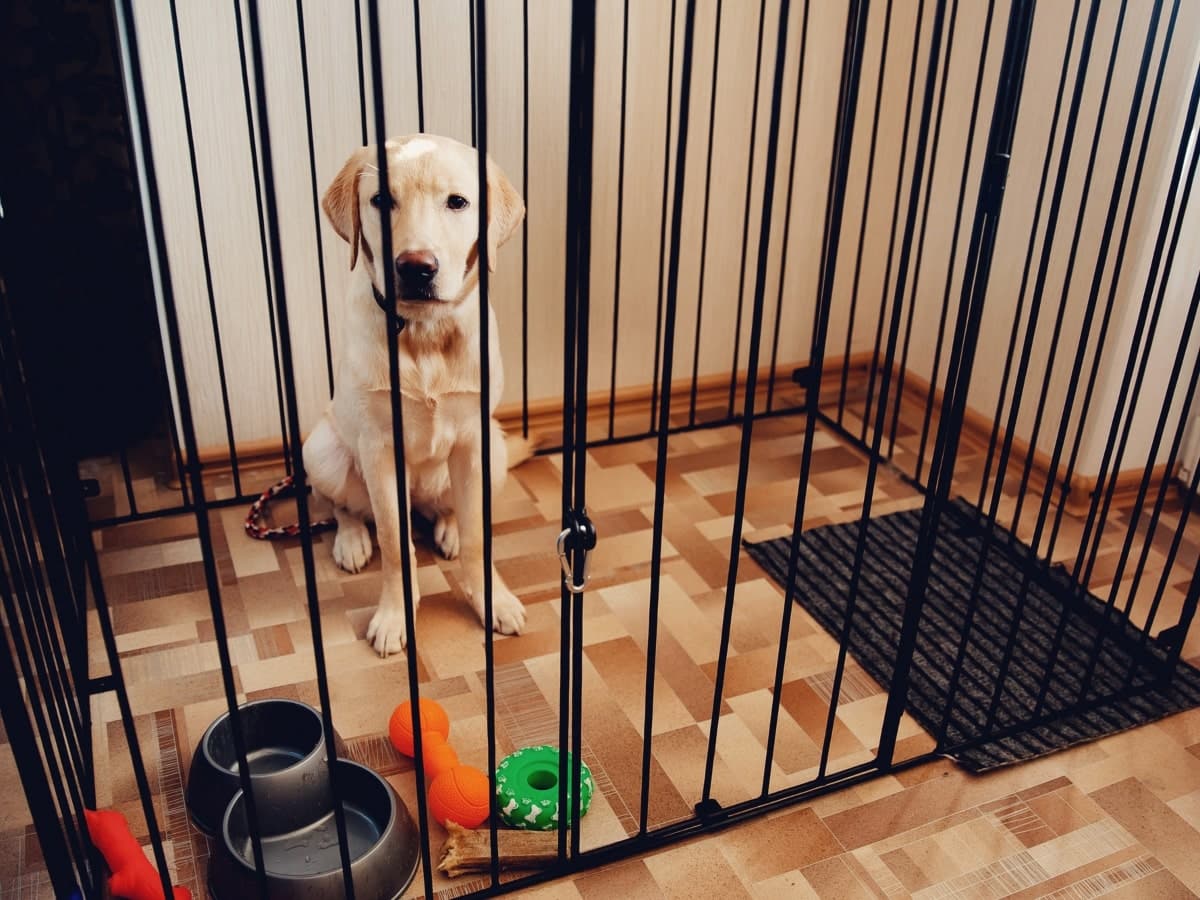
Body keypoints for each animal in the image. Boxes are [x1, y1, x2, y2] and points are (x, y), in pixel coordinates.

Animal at [309, 133, 530, 657]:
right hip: (320, 449)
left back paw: (446, 526)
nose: (415, 268)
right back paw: (351, 540)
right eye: (381, 200)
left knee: (448, 508)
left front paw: (492, 599)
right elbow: (394, 543)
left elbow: (477, 538)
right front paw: (394, 616)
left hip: (494, 451)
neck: (424, 332)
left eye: (458, 202)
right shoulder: (379, 449)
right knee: (339, 504)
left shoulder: (474, 441)